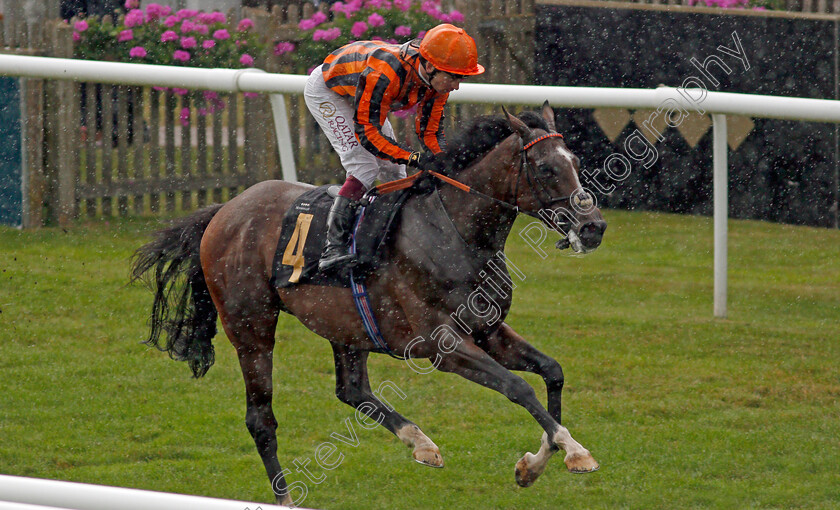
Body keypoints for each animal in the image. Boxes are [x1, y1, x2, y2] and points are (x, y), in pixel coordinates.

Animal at [130, 103, 604, 506]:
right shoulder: (441, 345)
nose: (593, 227)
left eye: (577, 164)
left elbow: (552, 371)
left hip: (344, 324)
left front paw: (536, 463)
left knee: (351, 388)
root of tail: (225, 210)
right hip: (251, 326)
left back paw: (420, 442)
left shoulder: (487, 329)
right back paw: (286, 497)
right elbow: (518, 386)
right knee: (260, 417)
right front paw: (575, 451)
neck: (455, 231)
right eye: (545, 168)